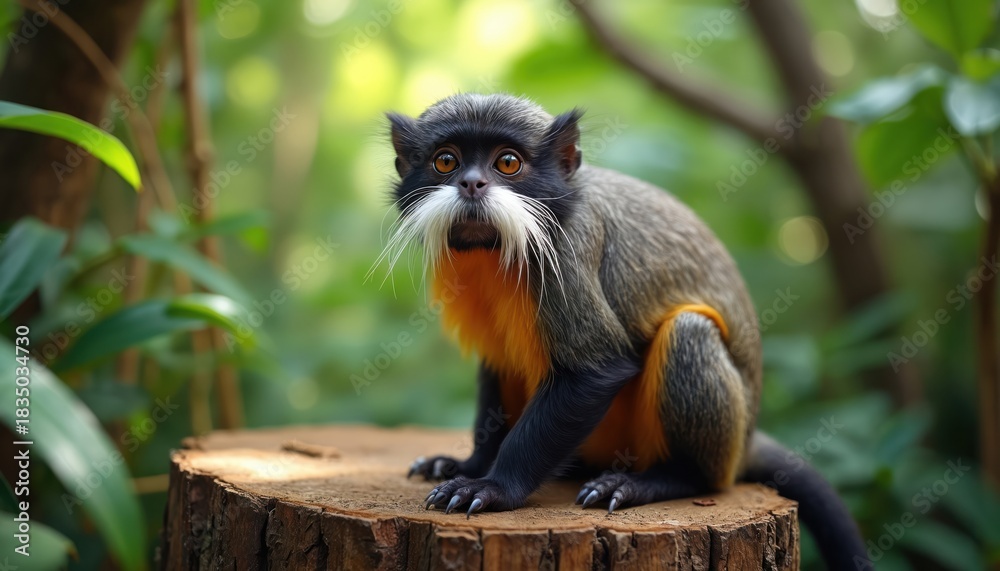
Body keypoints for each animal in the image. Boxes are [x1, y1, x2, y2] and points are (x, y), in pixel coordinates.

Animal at [381, 93, 868, 569]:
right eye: (446, 161)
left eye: (507, 163)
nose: (471, 183)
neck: (494, 249)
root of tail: (746, 442)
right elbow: (497, 369)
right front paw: (468, 464)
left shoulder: (568, 250)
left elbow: (598, 369)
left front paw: (494, 486)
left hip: (708, 445)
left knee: (689, 334)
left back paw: (664, 480)